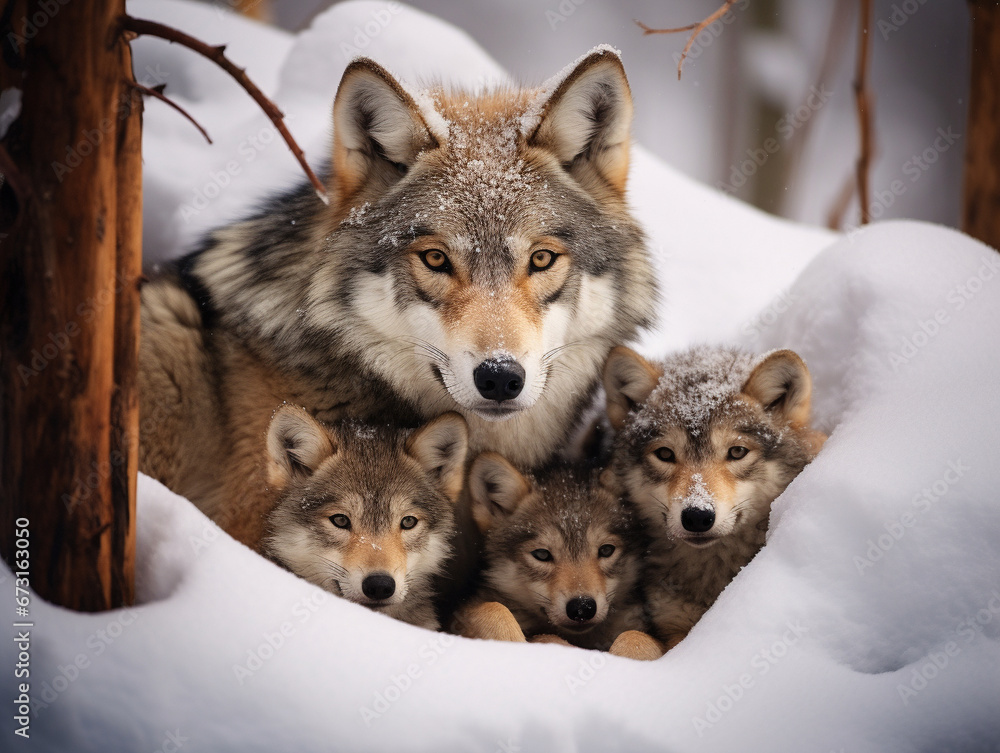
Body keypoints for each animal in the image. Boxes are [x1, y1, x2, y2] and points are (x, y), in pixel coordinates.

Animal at [603, 345, 826, 649]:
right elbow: (632, 637)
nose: (697, 517)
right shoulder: (673, 625)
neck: (712, 574)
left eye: (737, 452)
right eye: (664, 454)